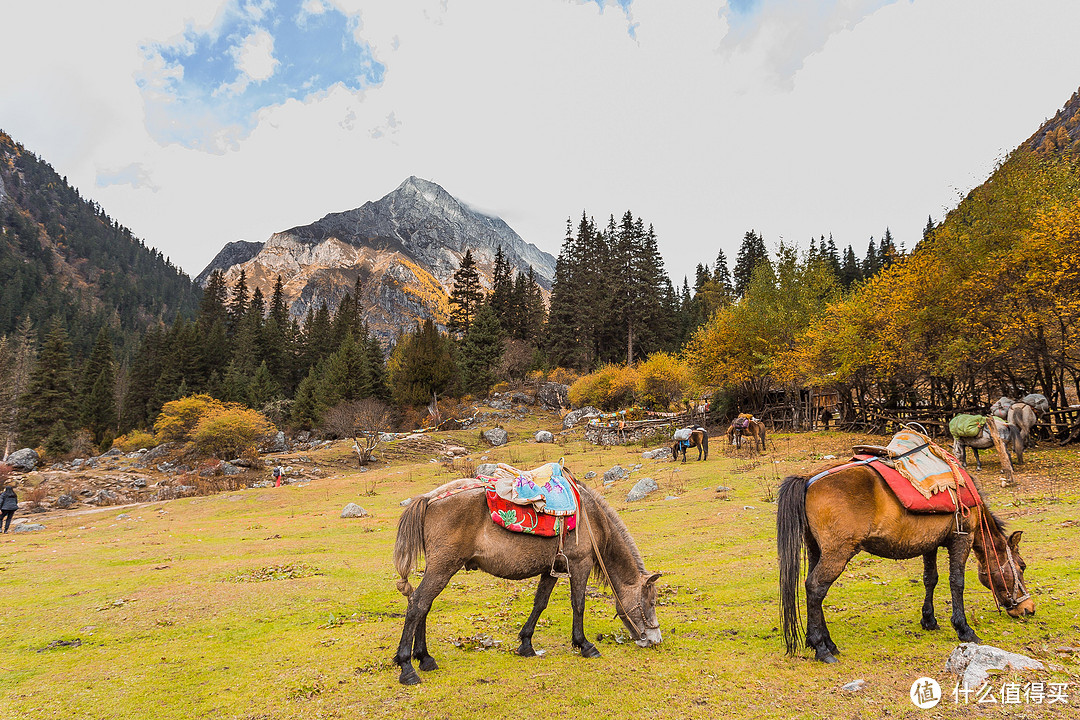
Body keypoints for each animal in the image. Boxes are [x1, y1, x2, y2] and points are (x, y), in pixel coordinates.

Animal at [395, 472, 660, 686]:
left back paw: (425, 658)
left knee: (423, 604)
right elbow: (579, 604)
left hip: (438, 567)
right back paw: (407, 668)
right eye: (651, 602)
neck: (592, 518)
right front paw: (584, 645)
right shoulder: (579, 564)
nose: (655, 640)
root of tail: (430, 498)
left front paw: (526, 644)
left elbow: (540, 603)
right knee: (418, 604)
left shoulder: (553, 568)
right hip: (444, 566)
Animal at [777, 464, 1036, 660]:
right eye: (1022, 566)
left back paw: (825, 643)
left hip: (817, 550)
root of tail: (808, 480)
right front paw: (964, 629)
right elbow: (957, 582)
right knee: (816, 588)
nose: (1029, 609)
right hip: (837, 553)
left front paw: (929, 620)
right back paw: (822, 649)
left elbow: (930, 579)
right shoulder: (962, 537)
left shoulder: (930, 542)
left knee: (813, 590)